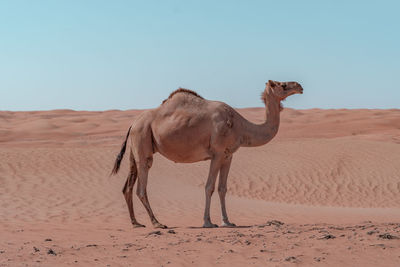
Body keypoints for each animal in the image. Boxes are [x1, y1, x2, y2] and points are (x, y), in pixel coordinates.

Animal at [110, 80, 304, 229]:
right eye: (282, 85)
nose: (299, 86)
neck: (240, 126)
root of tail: (133, 123)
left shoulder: (228, 156)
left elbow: (222, 188)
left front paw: (228, 222)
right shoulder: (217, 153)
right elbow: (209, 186)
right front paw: (208, 222)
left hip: (136, 147)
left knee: (127, 186)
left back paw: (136, 223)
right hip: (143, 140)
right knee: (141, 187)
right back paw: (157, 223)